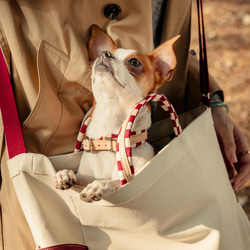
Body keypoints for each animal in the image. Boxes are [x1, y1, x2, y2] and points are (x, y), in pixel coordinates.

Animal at [55, 24, 179, 201]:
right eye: (103, 52)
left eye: (134, 62)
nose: (104, 53)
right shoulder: (83, 176)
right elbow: (72, 174)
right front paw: (64, 174)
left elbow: (115, 183)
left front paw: (98, 185)